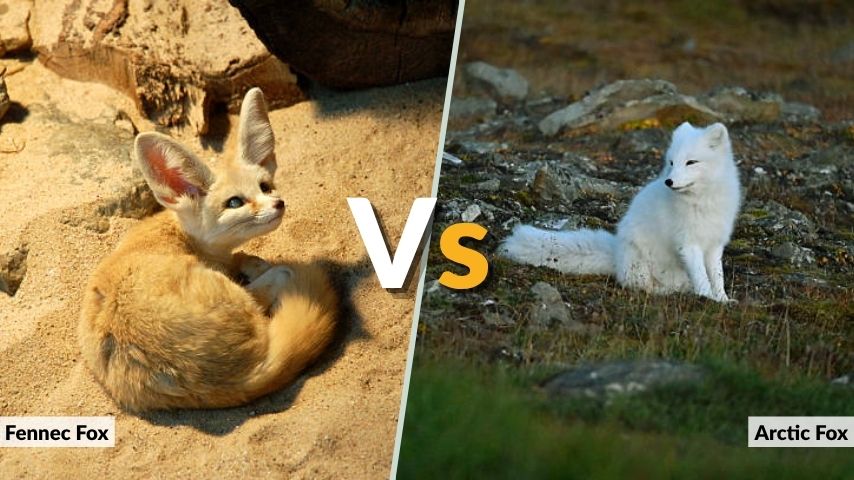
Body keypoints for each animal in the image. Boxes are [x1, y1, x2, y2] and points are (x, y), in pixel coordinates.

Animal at [78, 88, 337, 411]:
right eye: (235, 202)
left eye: (265, 186)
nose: (278, 204)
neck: (180, 233)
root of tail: (244, 377)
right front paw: (256, 265)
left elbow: (241, 257)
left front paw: (248, 261)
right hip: (241, 300)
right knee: (280, 277)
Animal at [499, 122, 741, 303]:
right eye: (672, 162)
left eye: (691, 162)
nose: (669, 181)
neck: (703, 200)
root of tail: (615, 253)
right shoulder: (688, 244)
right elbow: (701, 275)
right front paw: (707, 298)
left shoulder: (714, 245)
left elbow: (717, 275)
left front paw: (723, 299)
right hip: (640, 263)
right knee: (641, 285)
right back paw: (667, 291)